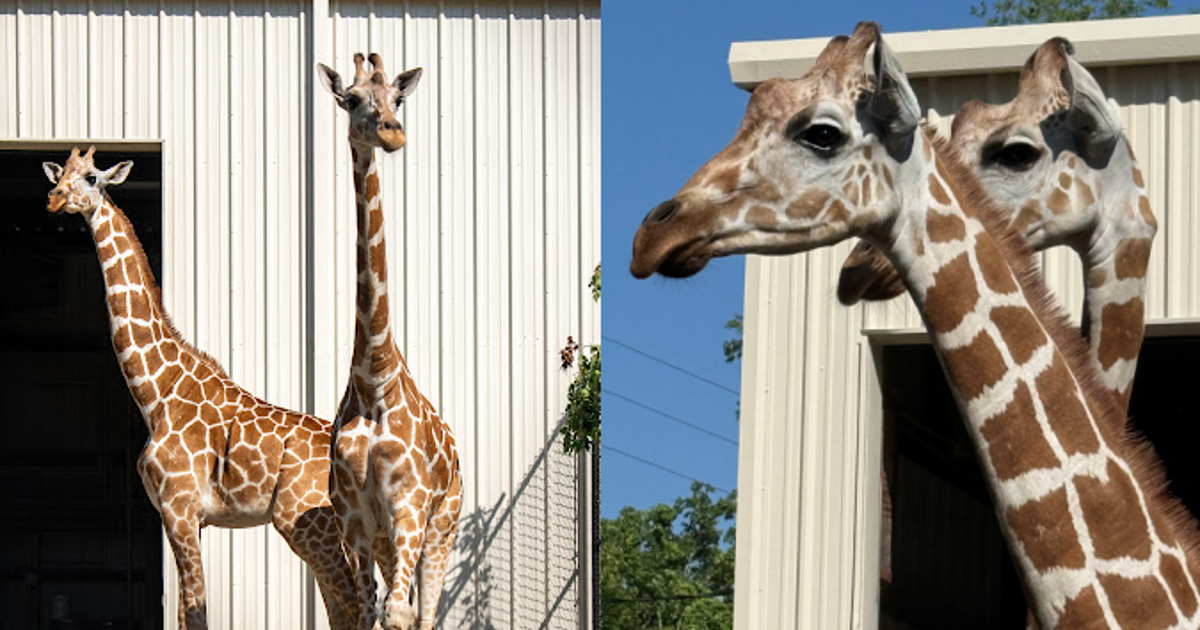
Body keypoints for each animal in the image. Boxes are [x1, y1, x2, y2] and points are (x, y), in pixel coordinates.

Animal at [42, 147, 359, 630]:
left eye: (92, 177)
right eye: (60, 174)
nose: (55, 199)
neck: (155, 393)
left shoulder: (180, 508)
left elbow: (197, 609)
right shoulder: (176, 516)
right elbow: (183, 611)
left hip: (303, 522)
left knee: (352, 603)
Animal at [317, 53, 462, 630]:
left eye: (396, 98)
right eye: (352, 99)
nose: (392, 132)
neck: (374, 374)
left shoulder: (409, 507)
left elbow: (401, 614)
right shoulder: (356, 520)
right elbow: (366, 613)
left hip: (441, 527)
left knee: (426, 612)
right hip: (388, 541)